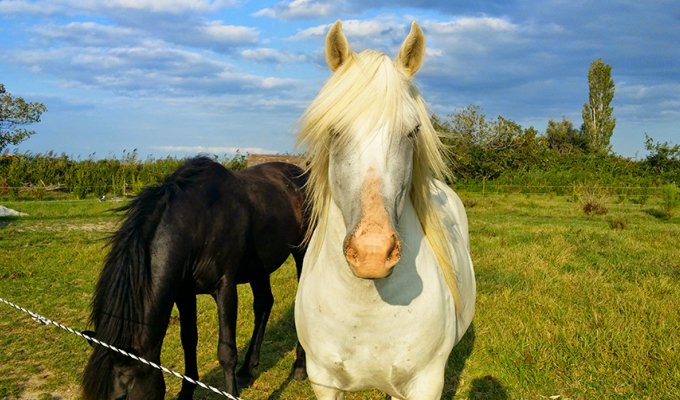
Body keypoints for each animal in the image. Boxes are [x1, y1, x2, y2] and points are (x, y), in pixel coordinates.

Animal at [80, 158, 310, 400]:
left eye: (122, 397)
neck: (198, 223)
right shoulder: (184, 293)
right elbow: (189, 340)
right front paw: (186, 392)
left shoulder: (225, 287)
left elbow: (226, 351)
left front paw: (231, 393)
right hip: (259, 267)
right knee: (264, 304)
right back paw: (247, 370)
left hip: (302, 252)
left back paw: (299, 368)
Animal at [294, 21, 476, 400]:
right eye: (333, 130)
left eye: (413, 131)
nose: (372, 253)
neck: (365, 309)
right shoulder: (323, 379)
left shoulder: (426, 383)